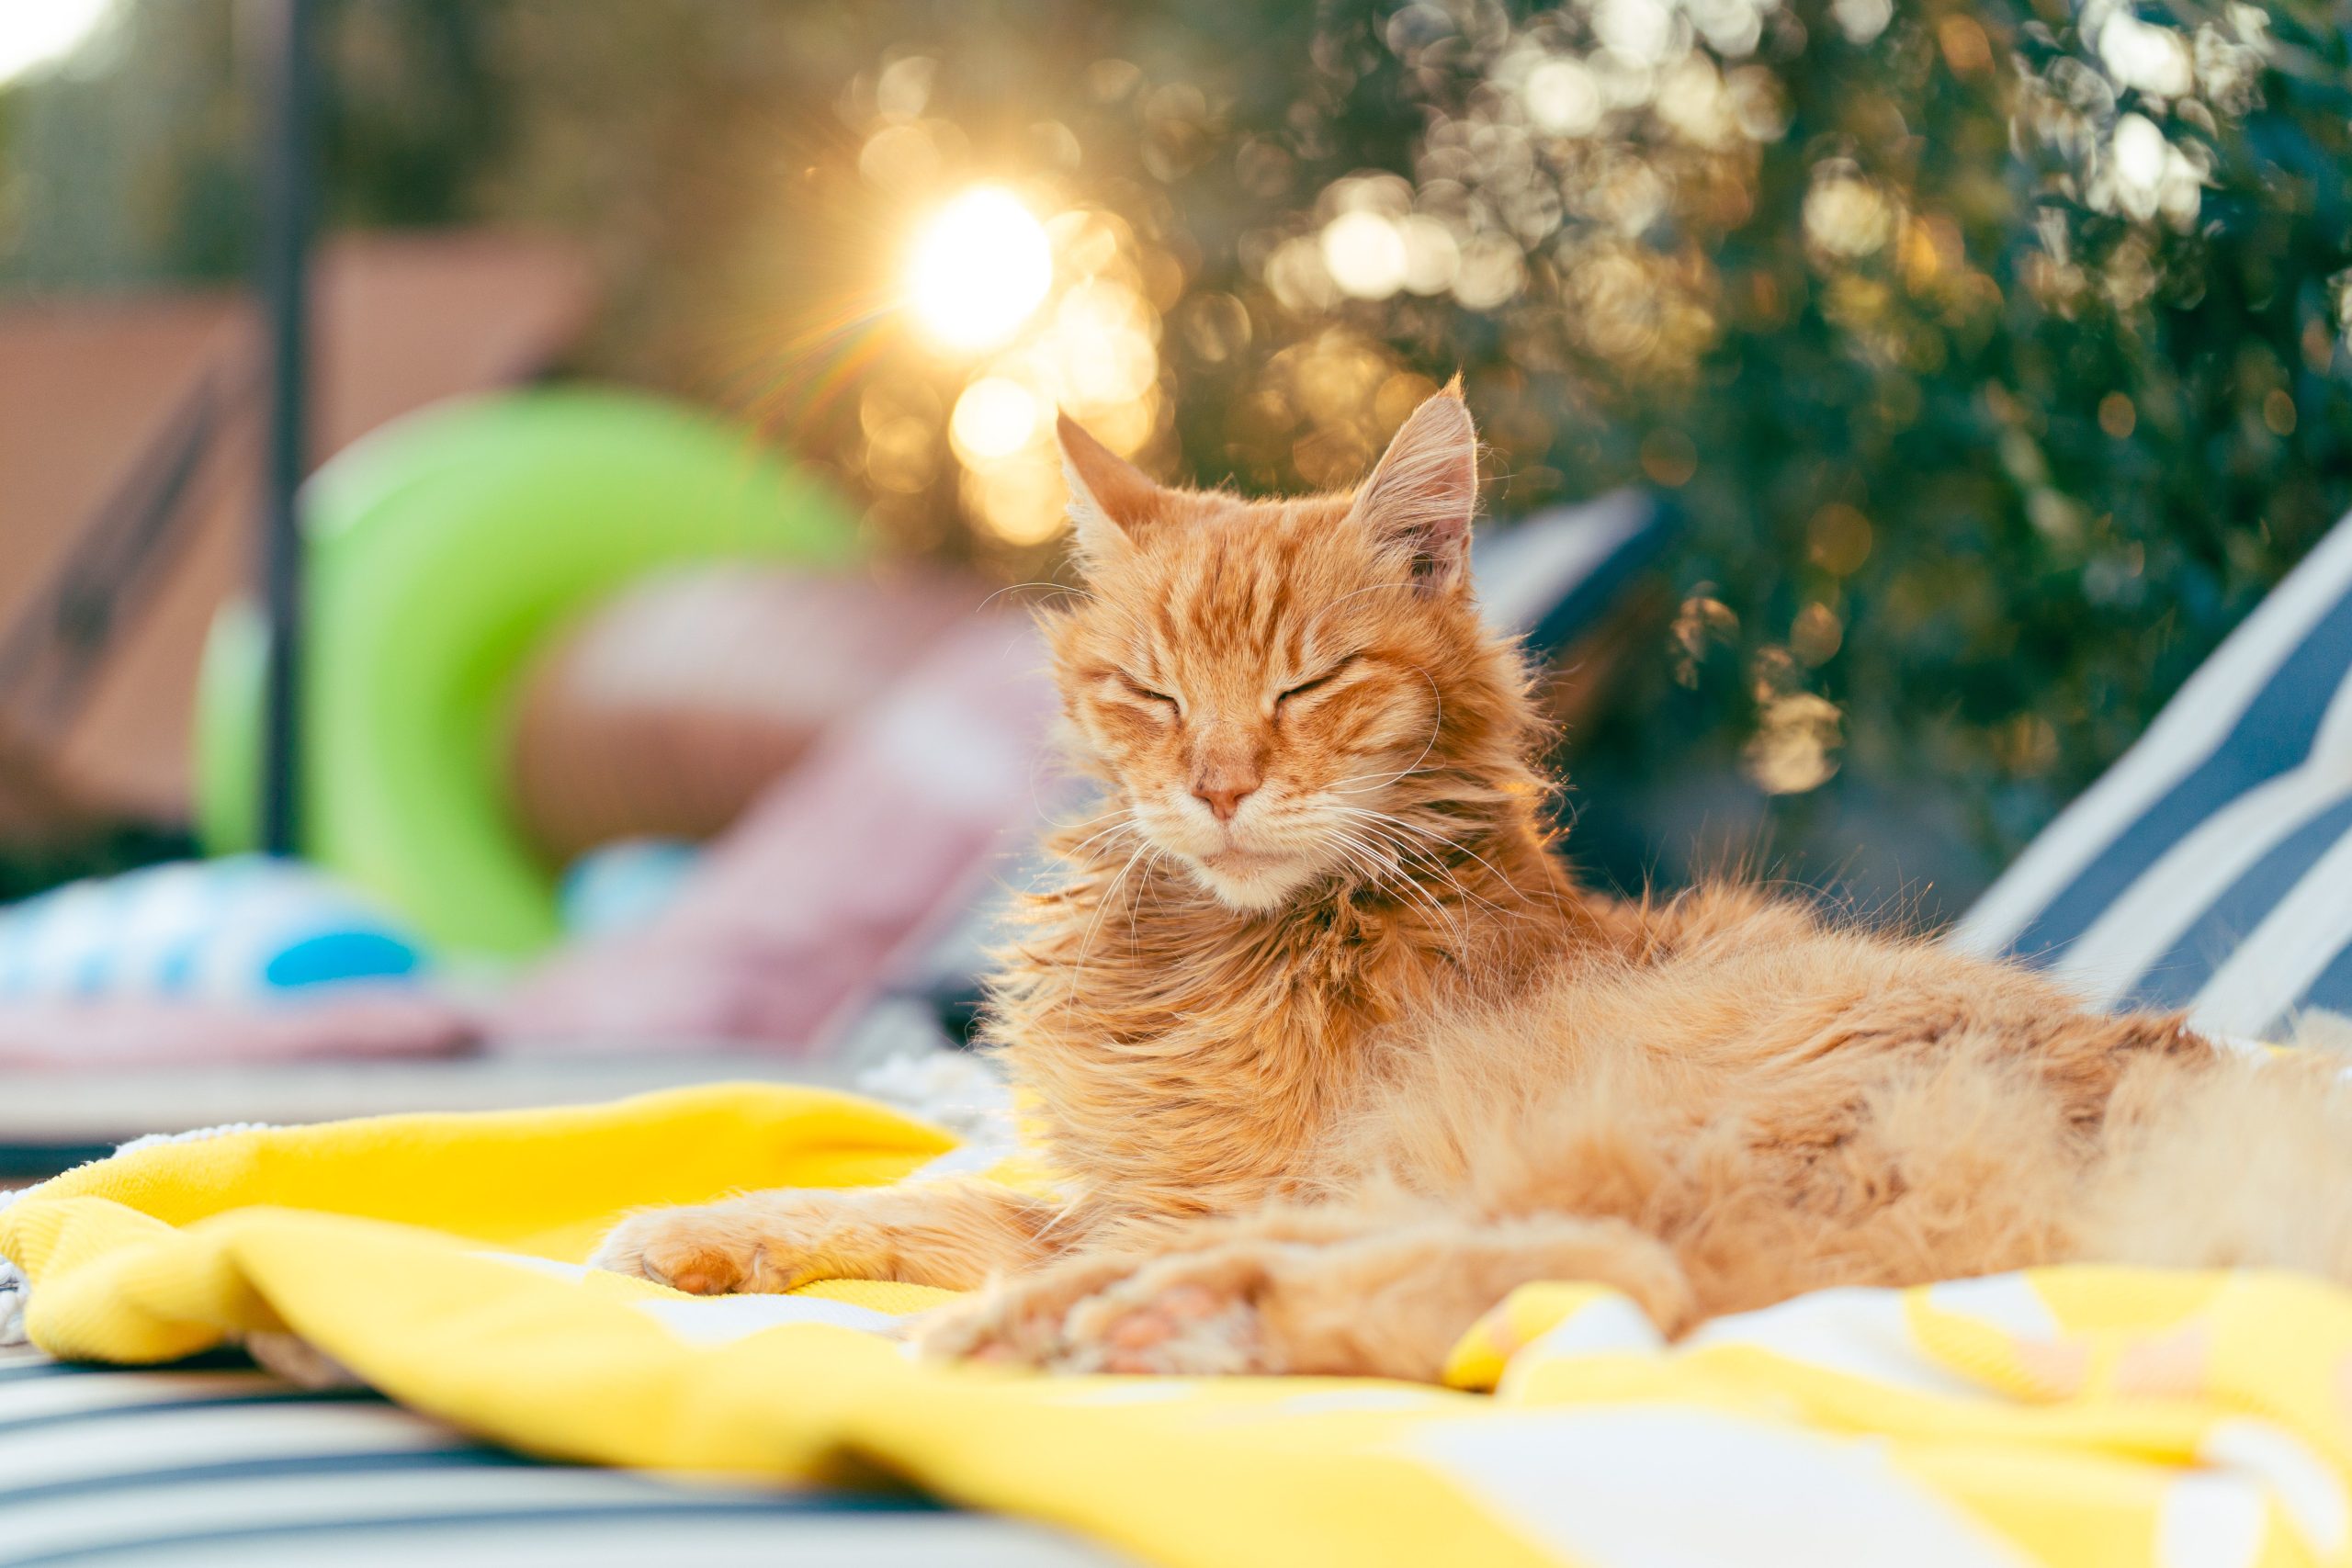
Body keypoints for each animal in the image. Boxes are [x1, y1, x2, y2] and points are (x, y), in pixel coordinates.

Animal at [593, 385, 2352, 1382]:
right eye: (1149, 691)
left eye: (1308, 683)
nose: (1216, 785)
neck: (1209, 945)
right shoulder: (1129, 1188)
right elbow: (910, 1199)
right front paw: (701, 1231)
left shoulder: (1225, 1185)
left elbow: (955, 1209)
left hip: (1621, 1146)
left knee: (1606, 1294)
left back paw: (1142, 1325)